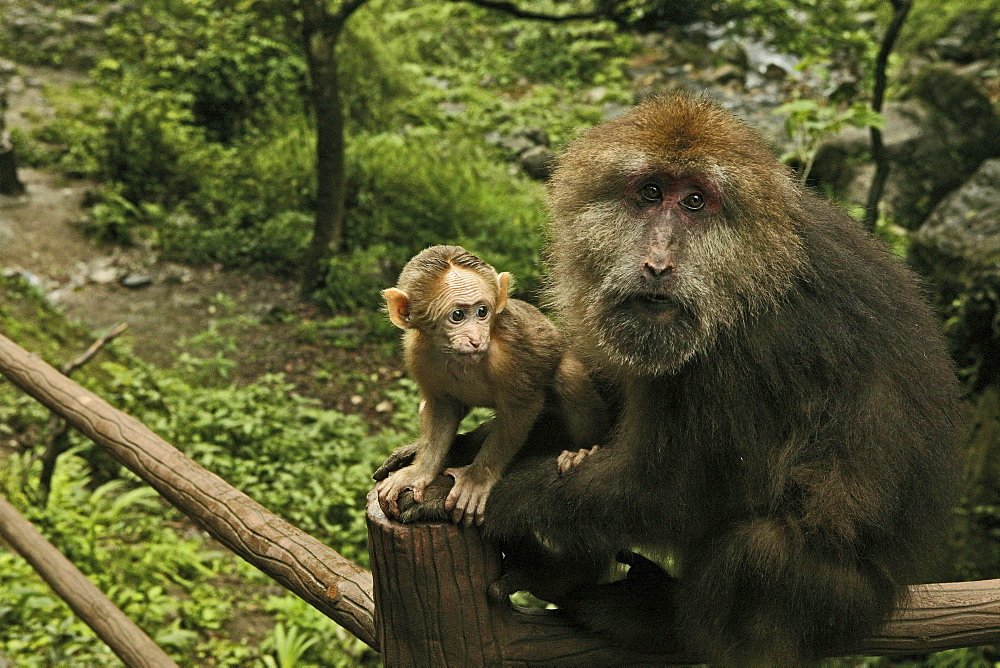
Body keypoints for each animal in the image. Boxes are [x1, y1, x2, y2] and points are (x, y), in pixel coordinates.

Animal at [378, 245, 604, 528]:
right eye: (457, 315)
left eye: (482, 312)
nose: (476, 339)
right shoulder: (417, 352)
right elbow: (442, 407)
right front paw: (420, 471)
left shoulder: (510, 352)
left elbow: (522, 408)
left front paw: (476, 480)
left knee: (567, 376)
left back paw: (581, 450)